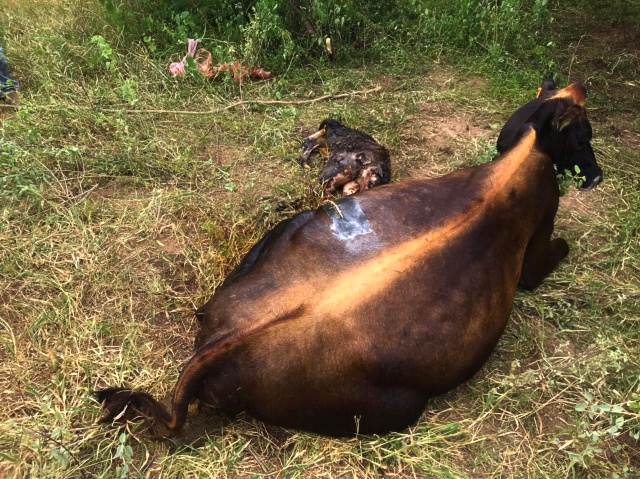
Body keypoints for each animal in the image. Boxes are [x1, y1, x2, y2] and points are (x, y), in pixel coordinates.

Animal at [95, 81, 600, 438]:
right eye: (585, 132)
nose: (594, 177)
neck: (524, 155)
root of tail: (220, 346)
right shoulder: (539, 239)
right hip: (397, 409)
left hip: (282, 235)